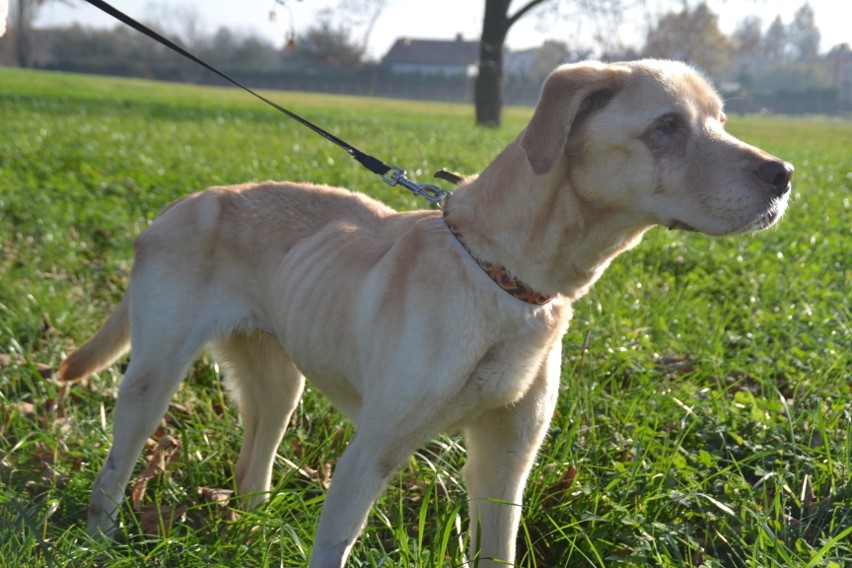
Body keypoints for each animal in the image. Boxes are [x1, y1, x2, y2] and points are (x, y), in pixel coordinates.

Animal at [58, 60, 792, 564]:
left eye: (721, 121)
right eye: (665, 127)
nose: (783, 174)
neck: (504, 280)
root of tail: (177, 206)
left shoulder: (506, 461)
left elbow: (498, 550)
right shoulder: (370, 453)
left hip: (278, 383)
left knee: (249, 471)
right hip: (153, 378)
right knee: (113, 472)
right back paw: (98, 537)